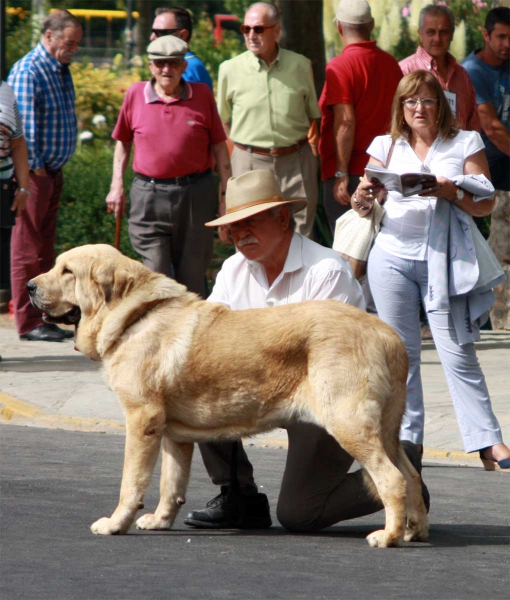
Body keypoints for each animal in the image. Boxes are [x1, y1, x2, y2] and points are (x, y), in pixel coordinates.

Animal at [26, 241, 426, 548]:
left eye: (67, 272)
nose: (29, 286)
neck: (133, 316)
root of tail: (387, 334)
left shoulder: (142, 421)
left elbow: (131, 483)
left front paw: (115, 524)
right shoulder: (173, 434)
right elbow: (171, 483)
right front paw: (159, 520)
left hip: (348, 424)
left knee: (391, 479)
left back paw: (388, 536)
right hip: (382, 430)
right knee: (410, 475)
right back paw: (414, 529)